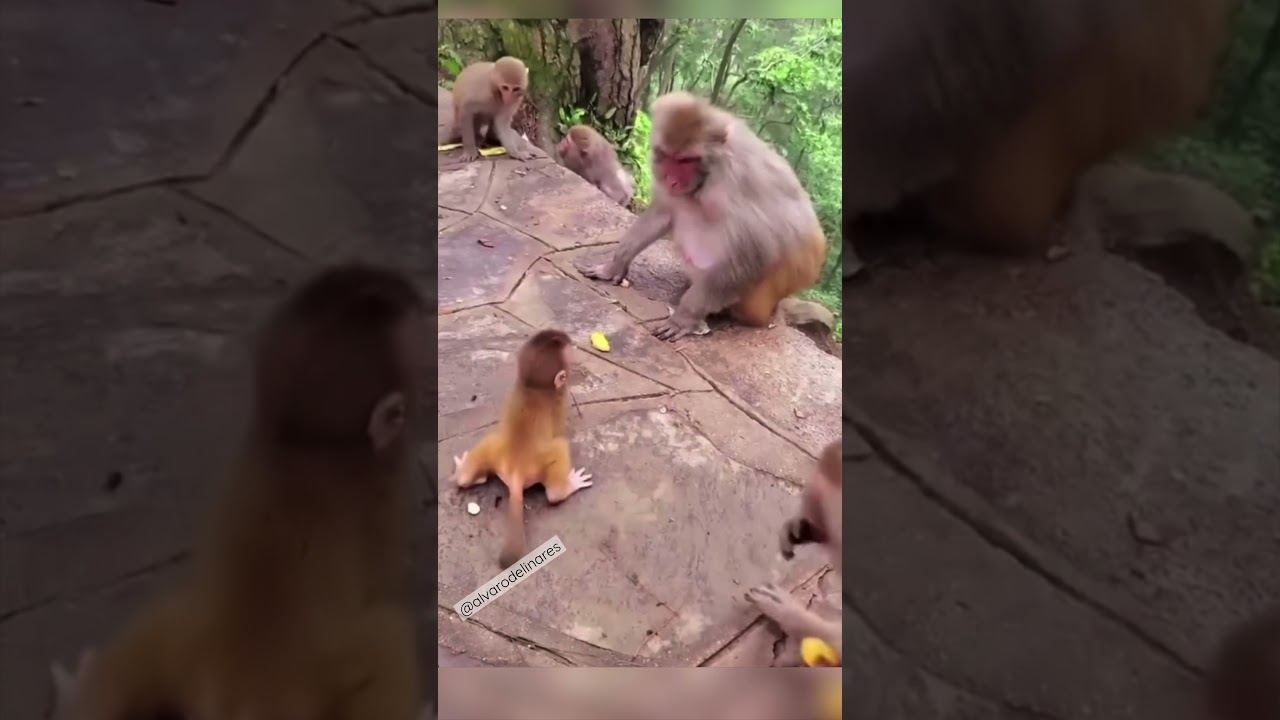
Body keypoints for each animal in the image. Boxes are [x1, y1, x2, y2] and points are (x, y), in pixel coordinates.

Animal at [451, 328, 593, 569]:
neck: (532, 385)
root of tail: (515, 472)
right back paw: (564, 488)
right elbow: (559, 428)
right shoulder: (559, 400)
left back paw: (466, 474)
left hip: (495, 450)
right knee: (558, 456)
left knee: (483, 452)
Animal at [577, 91, 829, 341]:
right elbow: (664, 211)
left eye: (686, 160)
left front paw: (684, 317)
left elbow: (755, 254)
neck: (710, 170)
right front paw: (614, 266)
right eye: (666, 155)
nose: (672, 180)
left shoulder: (735, 184)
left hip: (764, 295)